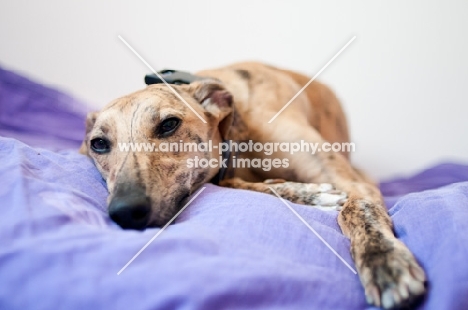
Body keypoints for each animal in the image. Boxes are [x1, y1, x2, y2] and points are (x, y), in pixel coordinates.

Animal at [79, 61, 424, 308]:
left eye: (169, 124)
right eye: (99, 144)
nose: (125, 212)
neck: (236, 125)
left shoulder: (355, 182)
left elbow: (357, 208)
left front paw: (384, 262)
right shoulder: (225, 175)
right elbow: (241, 184)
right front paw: (309, 193)